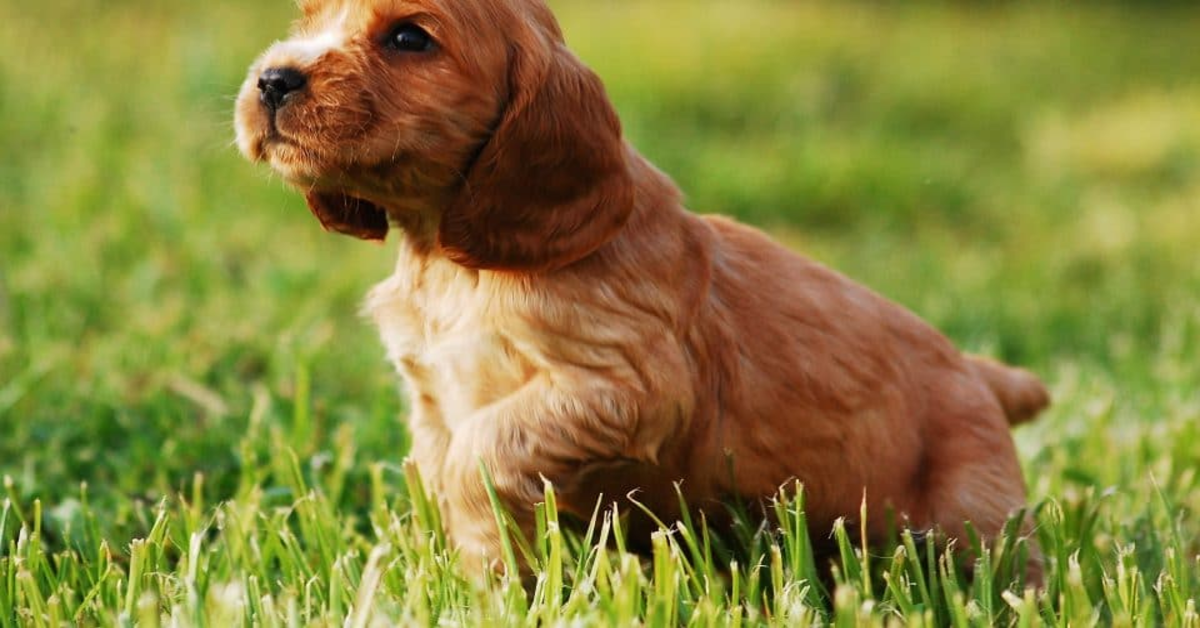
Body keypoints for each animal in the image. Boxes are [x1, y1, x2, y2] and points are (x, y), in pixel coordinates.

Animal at [234, 0, 1051, 581]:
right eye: (307, 20)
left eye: (409, 38)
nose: (272, 79)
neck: (453, 264)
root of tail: (982, 375)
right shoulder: (433, 399)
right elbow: (441, 472)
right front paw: (464, 577)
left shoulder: (628, 386)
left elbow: (479, 455)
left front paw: (495, 578)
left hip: (974, 516)